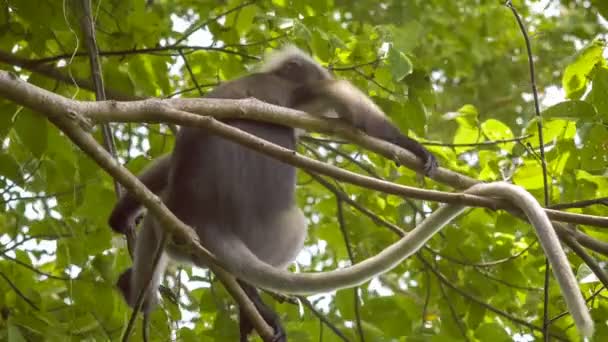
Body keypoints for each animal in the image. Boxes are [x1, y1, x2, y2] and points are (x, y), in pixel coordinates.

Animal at [110, 46, 436, 342]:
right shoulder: (311, 89)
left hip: (173, 227)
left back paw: (140, 292)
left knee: (157, 218)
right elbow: (360, 113)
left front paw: (121, 216)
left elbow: (166, 163)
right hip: (274, 234)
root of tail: (209, 220)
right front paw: (413, 147)